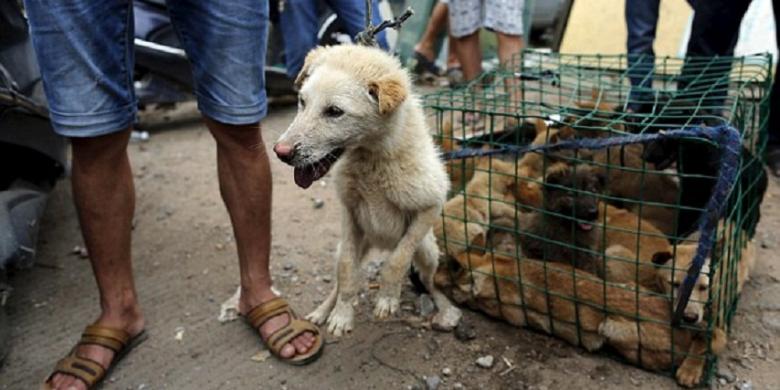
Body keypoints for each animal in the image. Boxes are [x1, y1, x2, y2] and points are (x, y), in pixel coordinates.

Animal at [272, 45, 464, 336]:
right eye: (302, 101)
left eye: (334, 111)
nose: (280, 153)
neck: (372, 158)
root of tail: (381, 243)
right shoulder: (350, 213)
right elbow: (347, 271)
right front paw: (341, 315)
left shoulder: (431, 205)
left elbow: (397, 262)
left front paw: (386, 299)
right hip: (349, 245)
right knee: (340, 278)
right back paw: (322, 311)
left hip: (428, 251)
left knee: (429, 280)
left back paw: (444, 307)